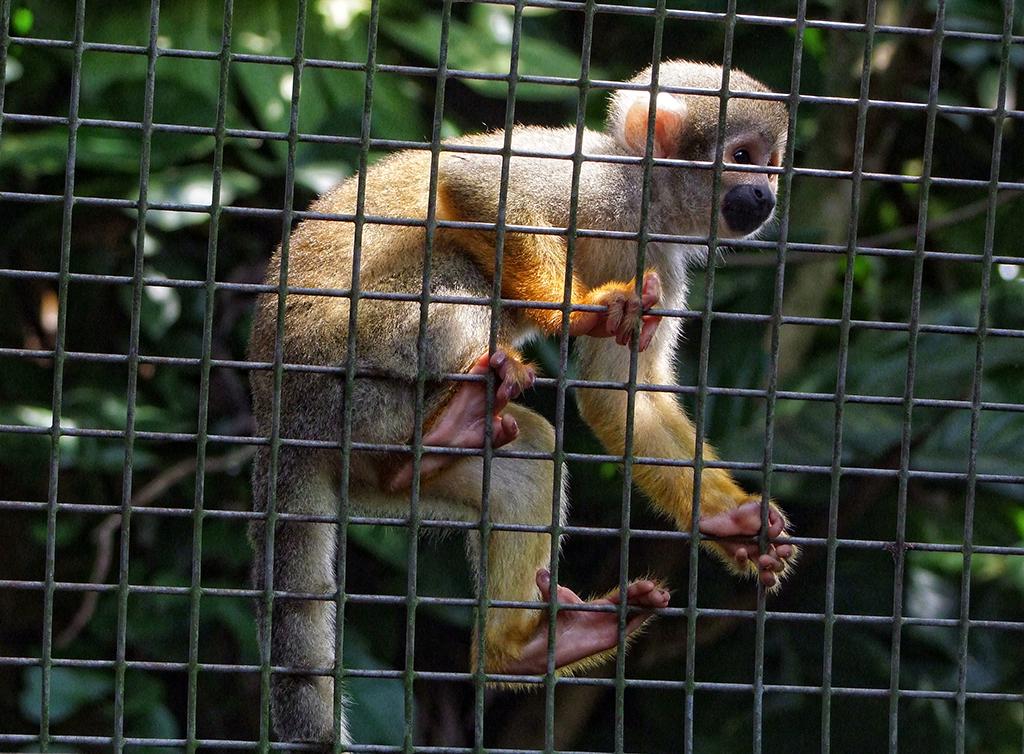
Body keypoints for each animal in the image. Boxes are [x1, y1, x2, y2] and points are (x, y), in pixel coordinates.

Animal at [248, 60, 796, 746]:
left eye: (771, 165)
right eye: (742, 157)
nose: (765, 195)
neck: (646, 202)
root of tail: (275, 410)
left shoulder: (662, 263)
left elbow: (622, 398)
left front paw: (731, 523)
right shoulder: (599, 179)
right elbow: (473, 180)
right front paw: (579, 307)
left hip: (367, 450)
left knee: (523, 454)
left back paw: (521, 646)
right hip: (344, 377)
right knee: (451, 270)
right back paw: (450, 424)